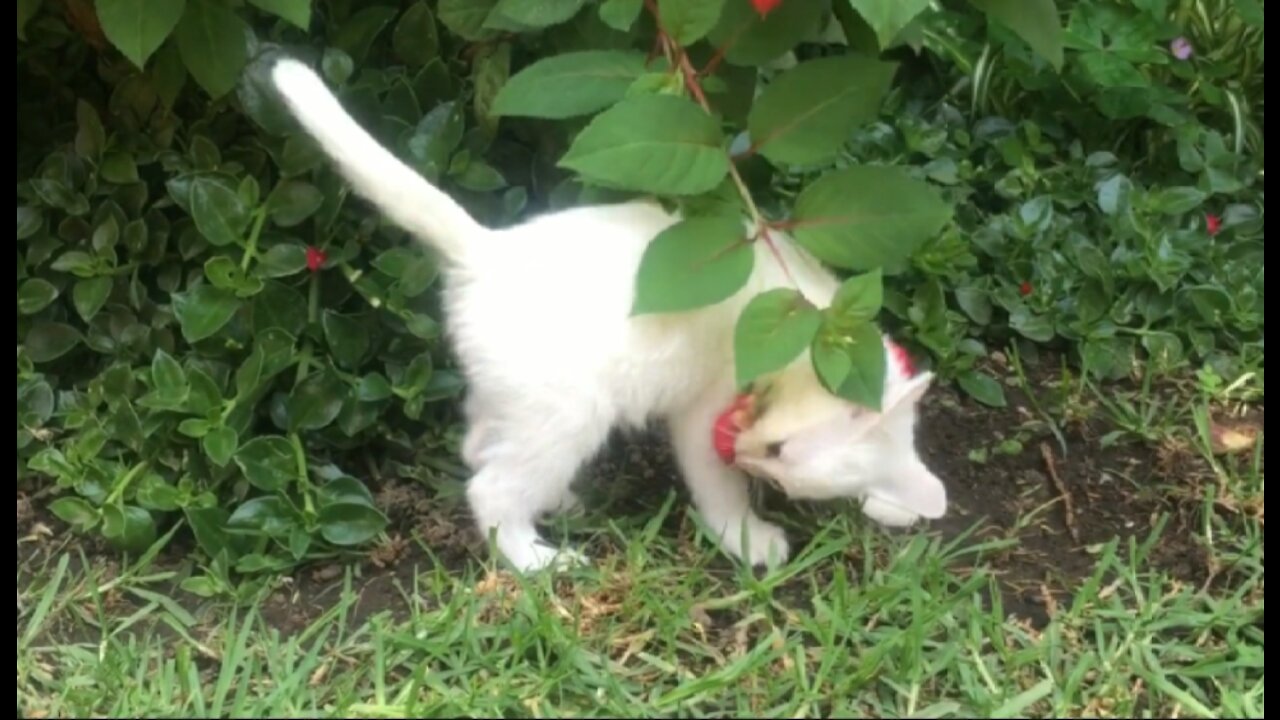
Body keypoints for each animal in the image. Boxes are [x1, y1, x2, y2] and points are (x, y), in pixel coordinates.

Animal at [272, 58, 952, 568]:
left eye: (782, 470)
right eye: (779, 452)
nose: (749, 455)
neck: (810, 325)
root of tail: (487, 251)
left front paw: (896, 505)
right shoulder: (703, 411)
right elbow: (718, 487)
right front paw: (746, 535)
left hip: (519, 396)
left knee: (480, 446)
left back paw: (556, 502)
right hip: (572, 411)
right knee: (489, 488)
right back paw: (536, 561)